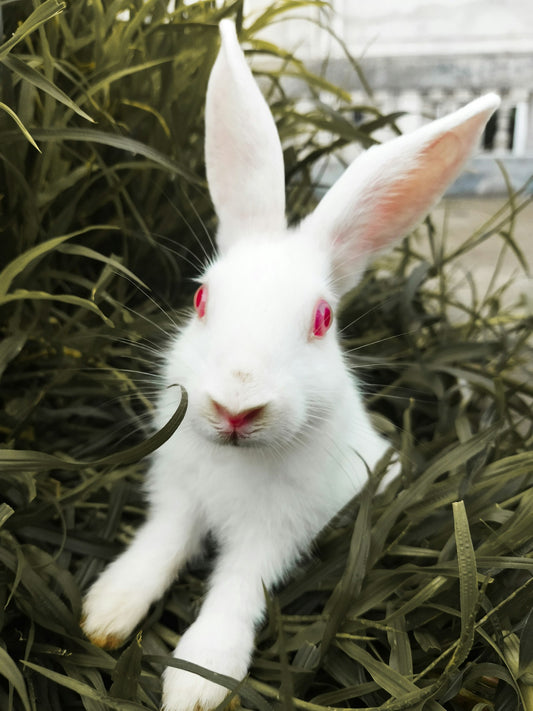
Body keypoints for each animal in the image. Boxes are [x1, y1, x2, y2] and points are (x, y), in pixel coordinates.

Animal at [81, 18, 500, 711]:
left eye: (322, 319)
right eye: (201, 299)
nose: (235, 406)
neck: (235, 462)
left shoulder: (277, 532)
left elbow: (236, 589)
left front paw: (197, 685)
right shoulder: (177, 497)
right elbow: (159, 546)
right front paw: (105, 615)